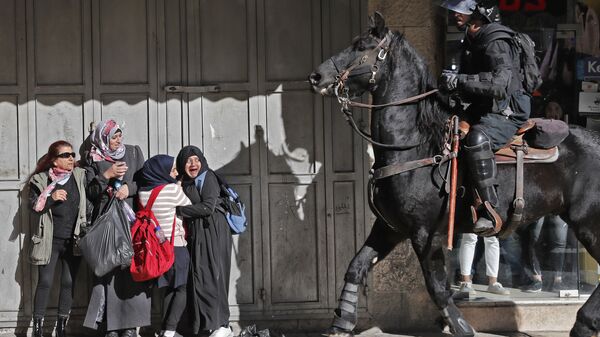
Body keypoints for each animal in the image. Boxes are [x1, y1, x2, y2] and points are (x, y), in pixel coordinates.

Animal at [310, 12, 600, 336]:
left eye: (361, 46)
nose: (317, 77)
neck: (413, 145)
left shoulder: (426, 234)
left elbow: (437, 287)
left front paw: (460, 325)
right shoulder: (389, 227)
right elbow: (355, 267)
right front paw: (341, 321)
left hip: (590, 223)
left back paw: (584, 322)